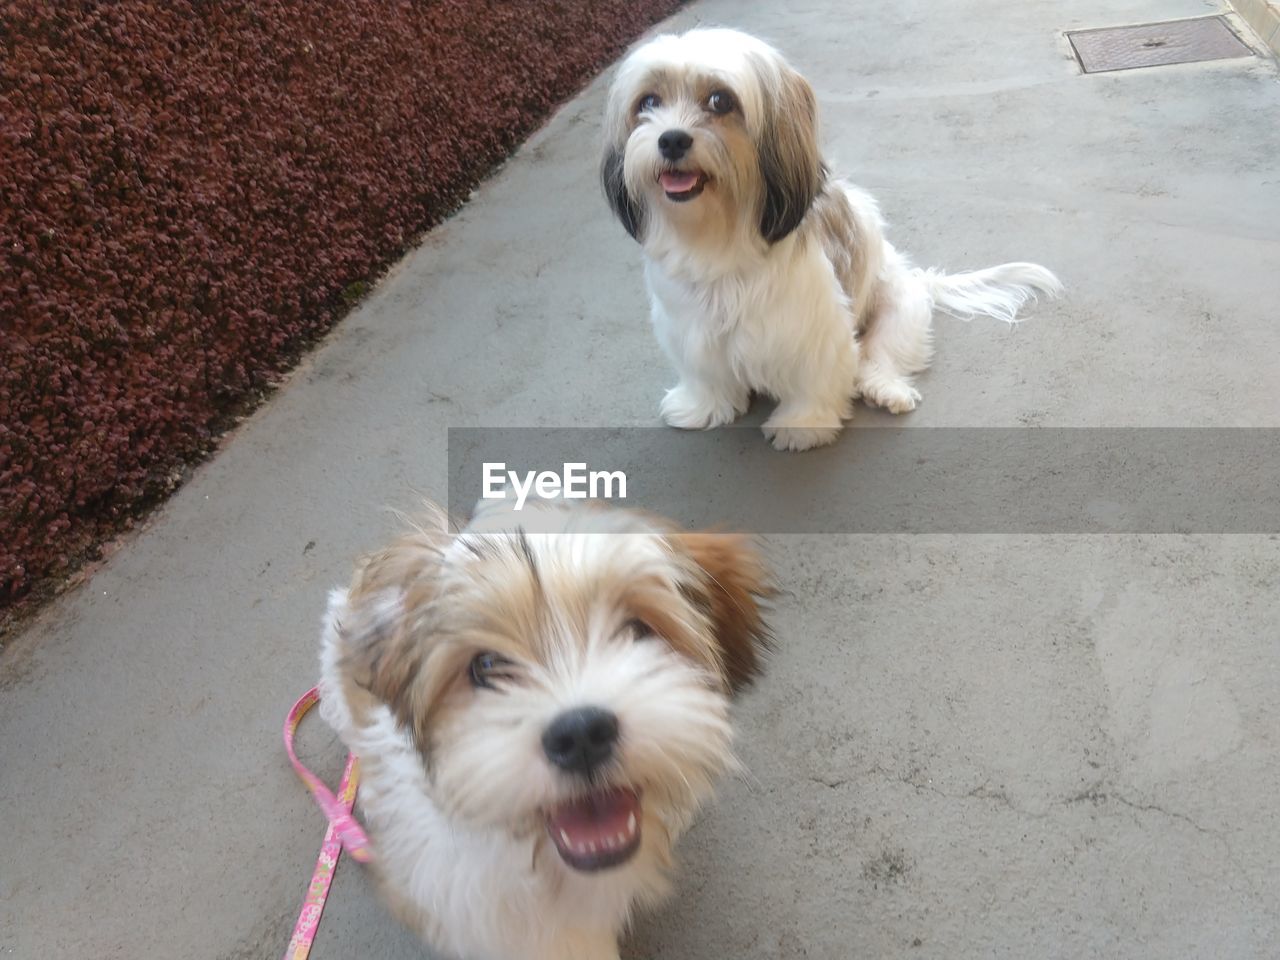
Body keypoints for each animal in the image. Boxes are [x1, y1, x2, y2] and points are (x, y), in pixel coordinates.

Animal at [604, 28, 1064, 453]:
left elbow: (815, 378)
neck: (721, 232)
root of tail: (915, 276)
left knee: (879, 357)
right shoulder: (689, 327)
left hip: (899, 309)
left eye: (720, 100)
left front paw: (801, 425)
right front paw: (701, 407)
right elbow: (705, 375)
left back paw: (884, 388)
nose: (671, 139)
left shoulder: (812, 330)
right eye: (648, 102)